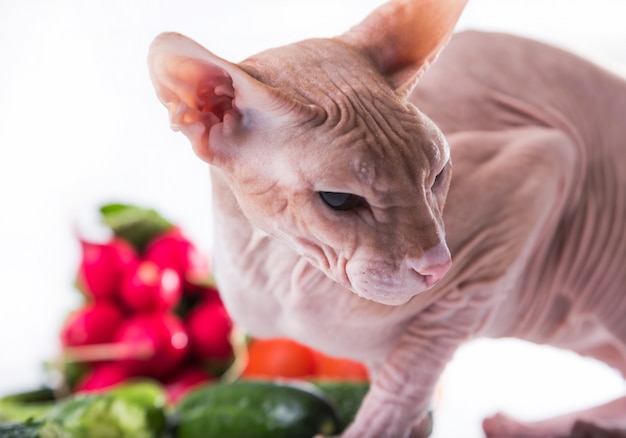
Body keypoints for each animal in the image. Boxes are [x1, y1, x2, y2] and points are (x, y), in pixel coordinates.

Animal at [147, 0, 624, 436]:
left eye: (438, 175)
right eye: (339, 200)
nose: (437, 268)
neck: (272, 270)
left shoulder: (542, 162)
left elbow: (415, 362)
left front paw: (375, 425)